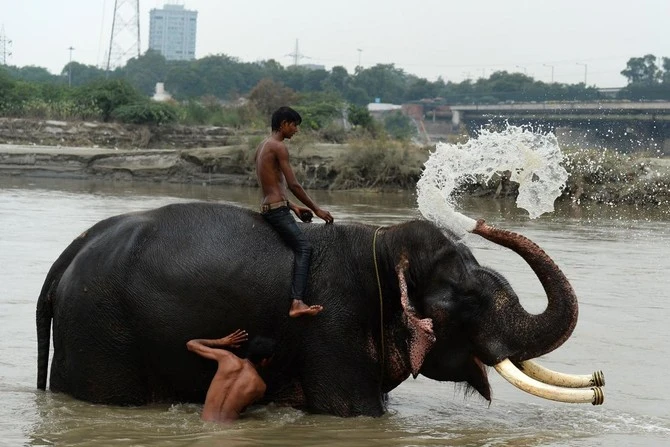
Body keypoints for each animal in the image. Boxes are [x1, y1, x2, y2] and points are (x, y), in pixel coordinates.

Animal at [36, 202, 604, 417]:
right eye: (467, 299)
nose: (479, 219)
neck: (382, 244)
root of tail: (67, 257)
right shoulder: (332, 323)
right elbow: (353, 413)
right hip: (101, 332)